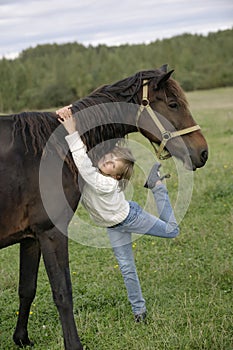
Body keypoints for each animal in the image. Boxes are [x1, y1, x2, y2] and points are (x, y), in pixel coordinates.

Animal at [0, 64, 208, 348]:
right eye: (173, 104)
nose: (203, 153)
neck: (49, 149)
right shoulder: (51, 232)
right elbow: (63, 293)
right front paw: (73, 344)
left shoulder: (31, 237)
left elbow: (27, 289)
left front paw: (21, 338)